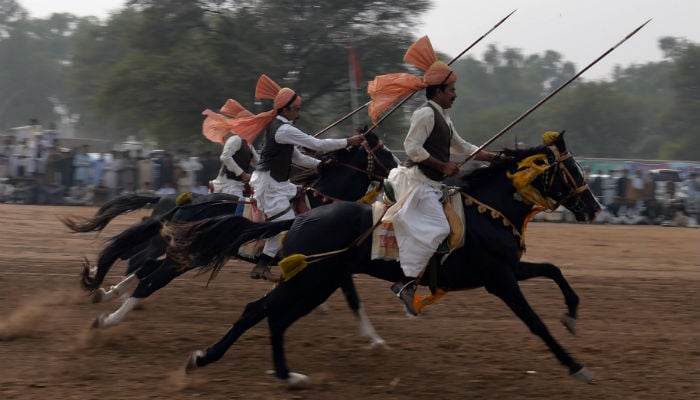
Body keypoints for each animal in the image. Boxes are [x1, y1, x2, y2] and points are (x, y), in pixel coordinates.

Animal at [71, 131, 400, 328]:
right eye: (384, 152)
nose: (400, 168)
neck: (320, 200)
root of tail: (181, 202)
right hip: (183, 253)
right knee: (147, 274)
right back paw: (109, 315)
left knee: (142, 266)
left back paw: (109, 296)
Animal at [174, 132, 600, 388]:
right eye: (571, 168)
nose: (594, 207)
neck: (488, 211)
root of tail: (300, 218)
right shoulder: (499, 279)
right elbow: (536, 323)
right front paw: (577, 366)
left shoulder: (508, 270)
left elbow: (553, 271)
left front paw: (572, 315)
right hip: (310, 280)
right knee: (258, 310)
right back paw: (205, 357)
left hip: (317, 282)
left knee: (274, 317)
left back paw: (284, 374)